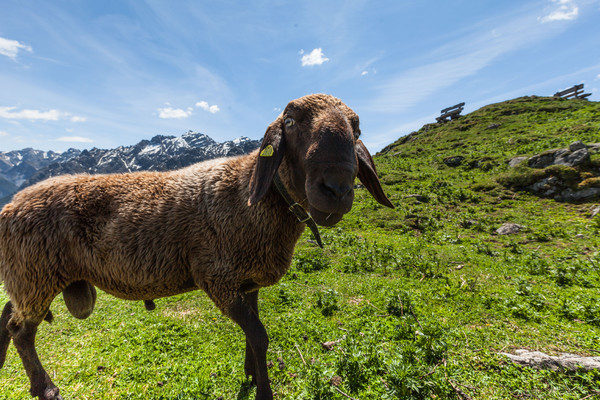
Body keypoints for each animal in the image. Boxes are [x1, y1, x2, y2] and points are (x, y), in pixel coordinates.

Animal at [0, 94, 394, 400]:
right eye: (291, 121)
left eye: (356, 130)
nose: (337, 188)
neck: (251, 194)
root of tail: (10, 205)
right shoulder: (216, 277)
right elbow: (260, 335)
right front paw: (263, 390)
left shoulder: (247, 282)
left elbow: (253, 334)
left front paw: (251, 375)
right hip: (35, 274)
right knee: (22, 331)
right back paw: (45, 388)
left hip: (29, 277)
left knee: (7, 314)